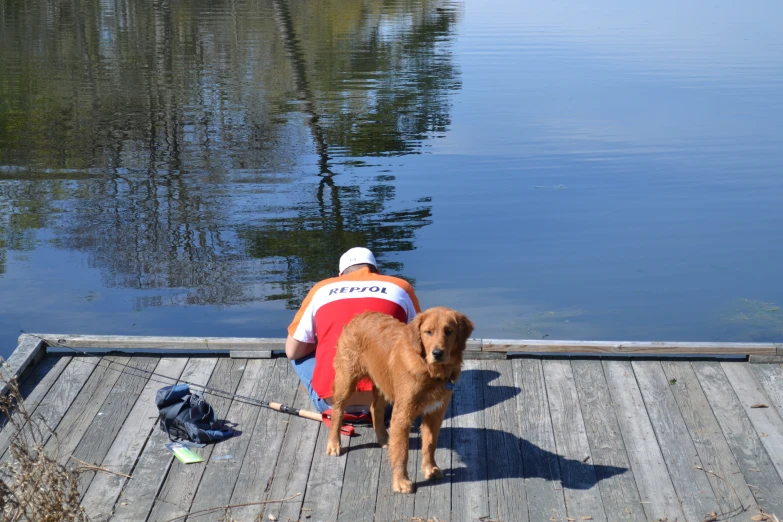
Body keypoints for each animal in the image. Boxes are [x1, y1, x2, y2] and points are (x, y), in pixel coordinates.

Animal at [326, 304, 474, 492]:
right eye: (428, 332)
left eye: (448, 331)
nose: (437, 353)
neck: (430, 371)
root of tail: (359, 316)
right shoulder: (402, 415)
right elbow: (402, 451)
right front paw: (401, 481)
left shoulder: (435, 413)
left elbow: (430, 444)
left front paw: (430, 468)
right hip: (346, 380)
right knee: (337, 411)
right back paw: (334, 444)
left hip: (381, 380)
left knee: (375, 408)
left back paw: (384, 439)